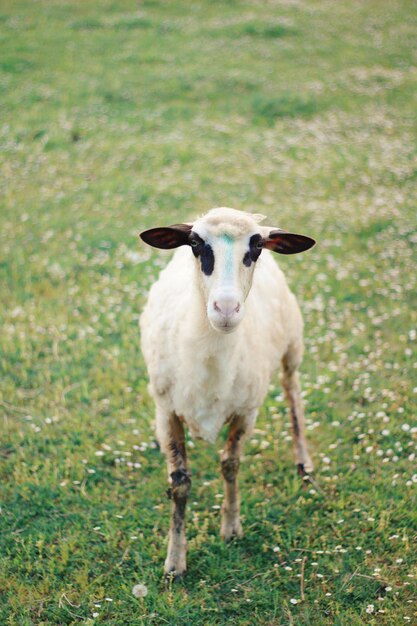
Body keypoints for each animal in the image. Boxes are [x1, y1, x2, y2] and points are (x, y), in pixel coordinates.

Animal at [138, 207, 314, 576]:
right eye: (194, 243)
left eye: (257, 247)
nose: (227, 309)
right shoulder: (166, 410)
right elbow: (179, 483)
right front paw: (175, 560)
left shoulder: (247, 411)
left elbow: (230, 464)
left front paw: (231, 528)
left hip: (292, 344)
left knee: (292, 392)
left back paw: (304, 462)